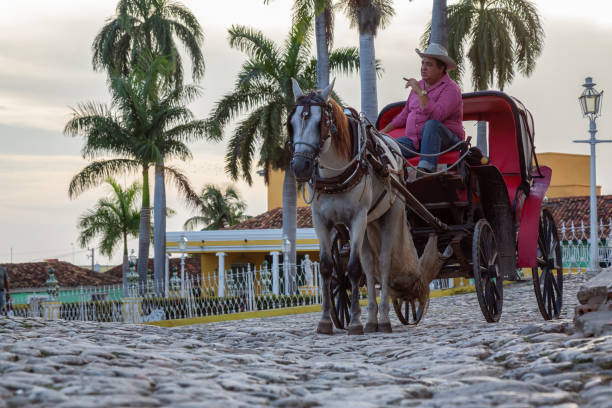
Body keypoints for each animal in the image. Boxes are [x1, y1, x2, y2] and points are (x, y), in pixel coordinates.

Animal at [290, 78, 448, 334]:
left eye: (320, 122)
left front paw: (355, 323)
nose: (300, 166)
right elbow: (327, 267)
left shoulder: (358, 217)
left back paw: (382, 319)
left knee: (382, 263)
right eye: (291, 123)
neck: (337, 174)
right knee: (369, 265)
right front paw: (325, 321)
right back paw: (372, 320)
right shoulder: (321, 221)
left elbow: (355, 268)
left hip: (389, 215)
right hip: (370, 223)